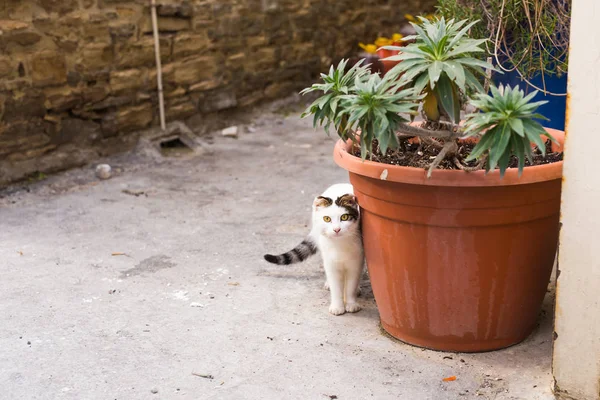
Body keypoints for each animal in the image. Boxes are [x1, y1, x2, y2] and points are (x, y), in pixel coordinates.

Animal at [264, 184, 366, 316]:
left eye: (344, 217)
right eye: (327, 219)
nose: (336, 229)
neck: (340, 245)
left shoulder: (356, 262)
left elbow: (351, 285)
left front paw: (351, 303)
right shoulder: (331, 263)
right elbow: (335, 286)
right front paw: (337, 306)